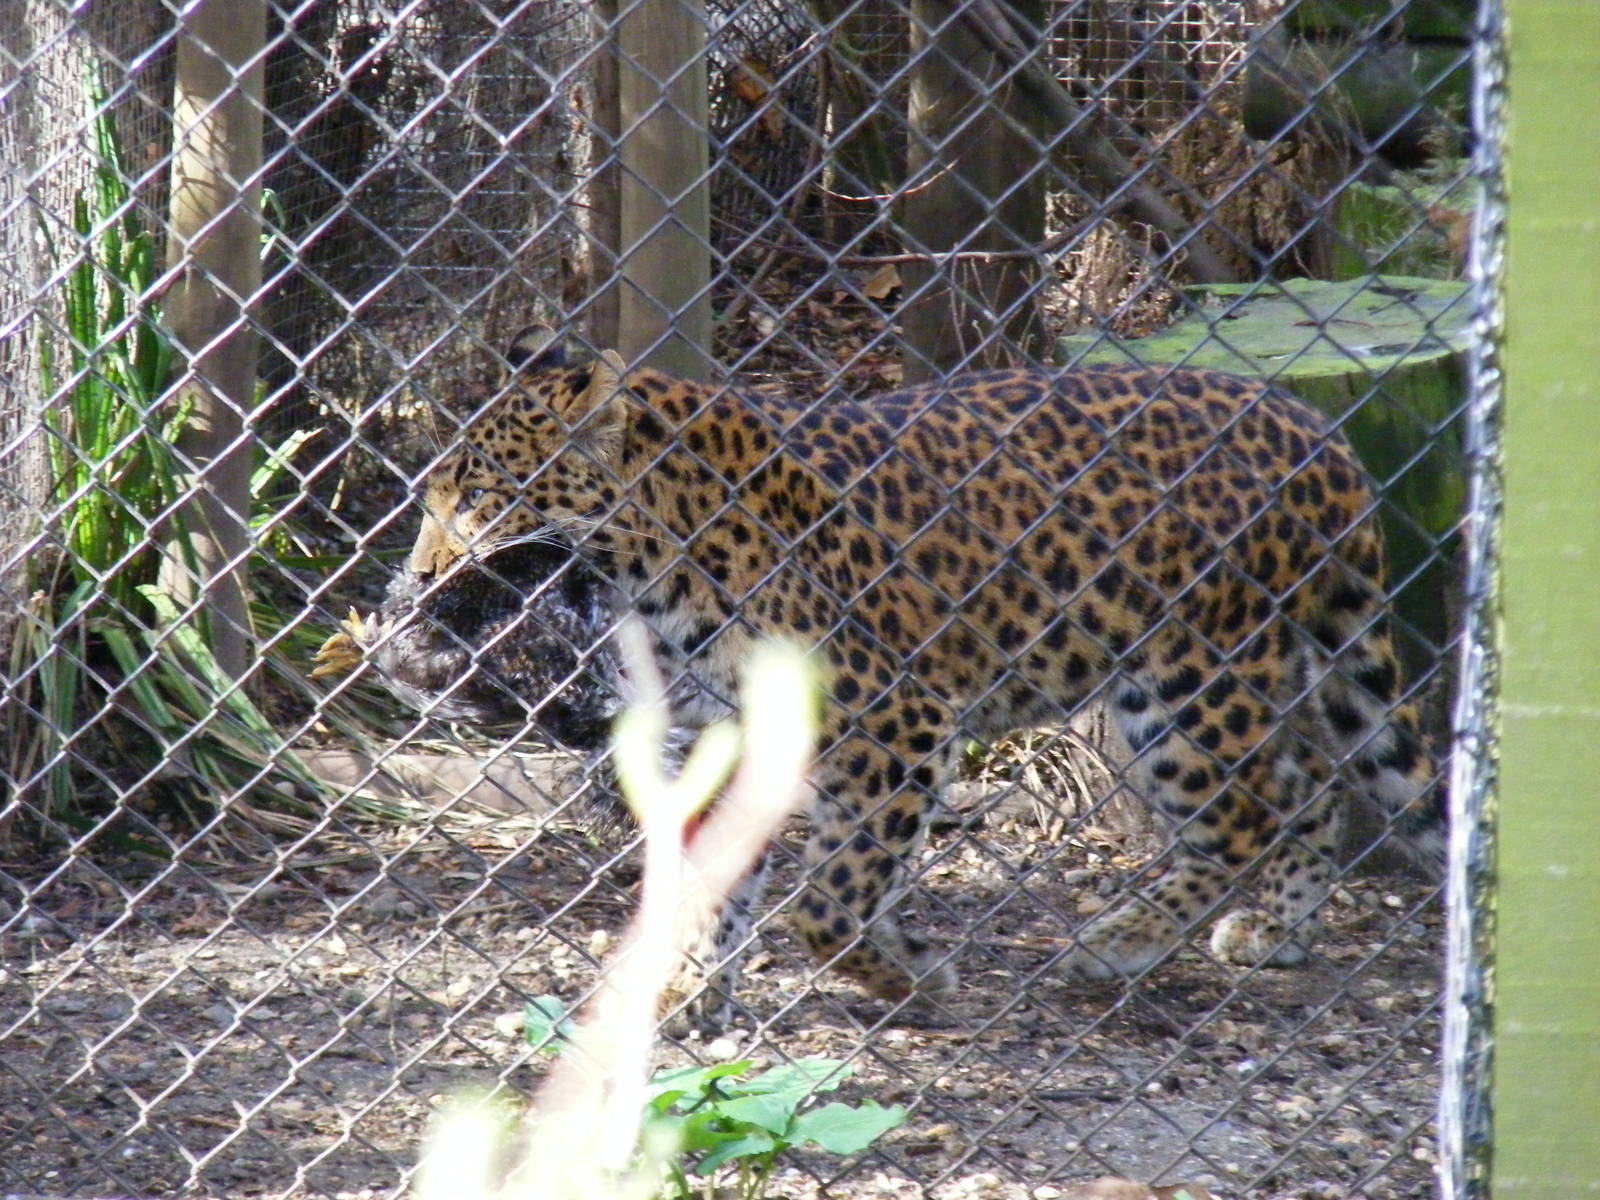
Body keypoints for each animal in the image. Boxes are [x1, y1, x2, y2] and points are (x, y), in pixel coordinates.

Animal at [404, 324, 1444, 1019]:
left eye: (480, 493)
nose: (416, 576)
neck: (647, 565)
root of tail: (1316, 429)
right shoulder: (717, 733)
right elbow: (718, 881)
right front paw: (696, 992)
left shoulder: (894, 723)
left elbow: (831, 900)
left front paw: (909, 976)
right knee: (1310, 788)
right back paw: (1276, 931)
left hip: (1186, 684)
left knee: (1247, 818)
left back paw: (1119, 942)